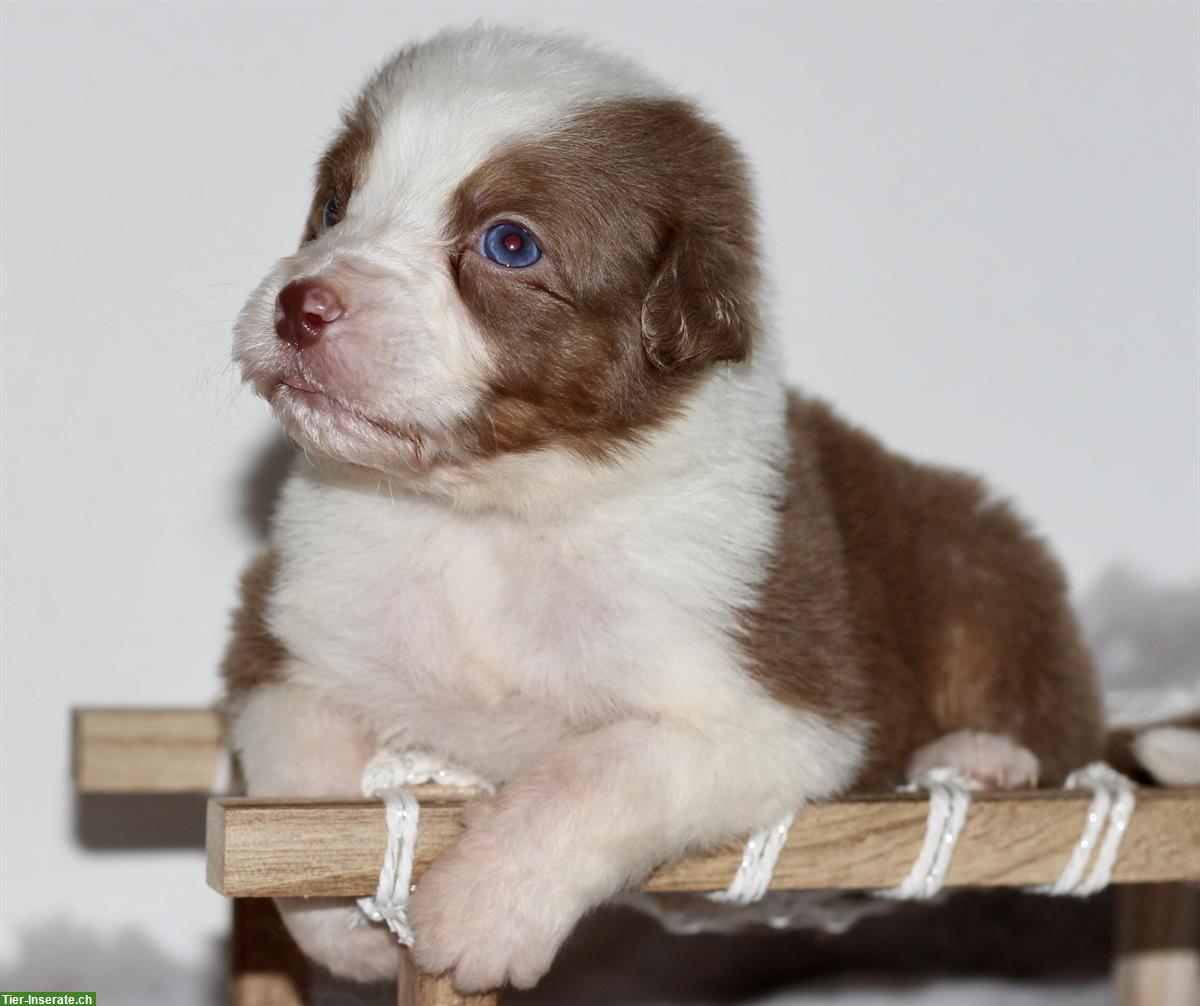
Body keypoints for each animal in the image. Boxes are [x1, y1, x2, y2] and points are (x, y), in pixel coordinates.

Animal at [223, 23, 1104, 993]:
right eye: (335, 204)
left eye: (510, 245)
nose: (300, 305)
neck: (490, 515)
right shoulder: (285, 634)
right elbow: (298, 770)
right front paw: (346, 924)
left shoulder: (773, 710)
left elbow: (601, 772)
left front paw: (482, 910)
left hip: (977, 552)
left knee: (1057, 703)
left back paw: (979, 757)